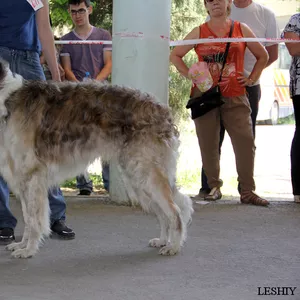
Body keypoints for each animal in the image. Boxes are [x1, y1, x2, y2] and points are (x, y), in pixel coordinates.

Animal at [0, 60, 193, 258]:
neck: (6, 100)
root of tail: (163, 110)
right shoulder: (21, 178)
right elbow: (27, 216)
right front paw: (22, 245)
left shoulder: (32, 175)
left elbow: (33, 219)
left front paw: (28, 250)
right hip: (138, 177)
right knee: (164, 214)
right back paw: (162, 240)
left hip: (146, 174)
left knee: (175, 212)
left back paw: (173, 246)